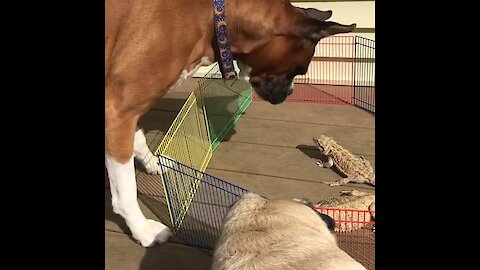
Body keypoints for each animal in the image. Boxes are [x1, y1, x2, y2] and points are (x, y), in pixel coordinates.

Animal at [105, 0, 354, 247]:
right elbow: (126, 191)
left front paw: (152, 163)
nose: (291, 92)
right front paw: (143, 229)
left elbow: (137, 140)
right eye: (299, 70)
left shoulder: (128, 111)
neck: (212, 20)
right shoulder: (117, 111)